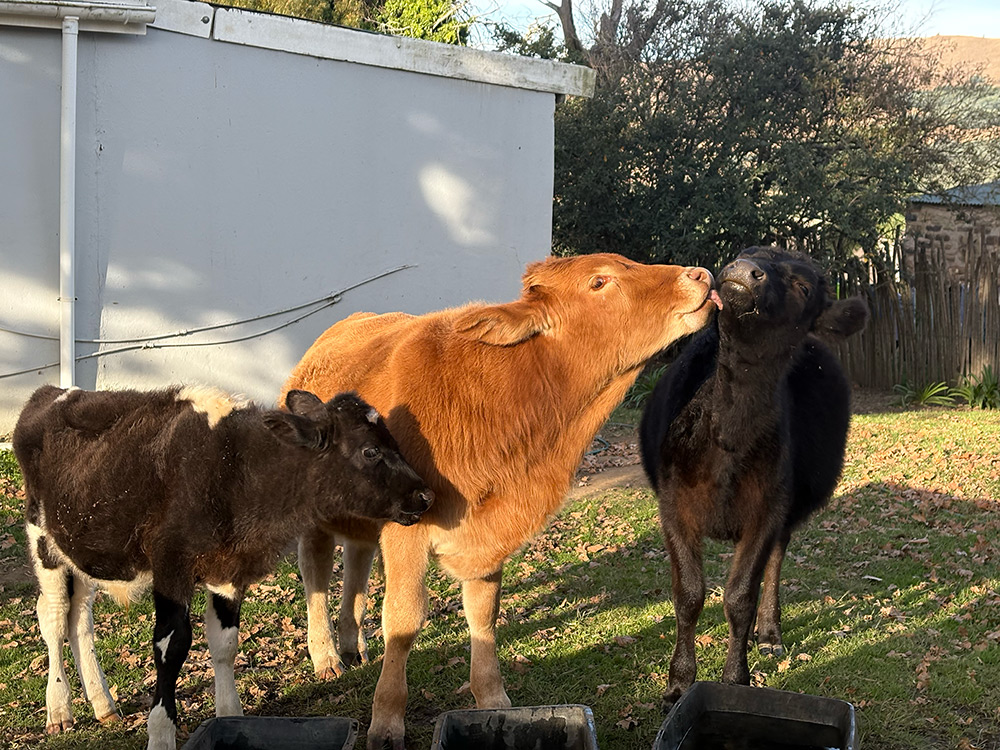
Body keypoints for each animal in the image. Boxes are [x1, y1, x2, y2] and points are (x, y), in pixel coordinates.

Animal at [12, 385, 433, 750]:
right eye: (370, 451)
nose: (425, 495)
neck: (234, 468)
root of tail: (50, 393)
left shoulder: (228, 571)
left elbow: (225, 644)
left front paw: (230, 715)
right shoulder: (171, 568)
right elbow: (172, 646)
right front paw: (161, 735)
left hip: (83, 551)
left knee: (79, 618)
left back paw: (103, 705)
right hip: (43, 542)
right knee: (53, 618)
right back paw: (59, 710)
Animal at [282, 252, 719, 749]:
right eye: (599, 281)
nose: (699, 274)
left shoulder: (489, 534)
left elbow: (483, 614)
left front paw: (494, 700)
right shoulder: (407, 529)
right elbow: (404, 619)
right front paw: (387, 719)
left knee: (357, 559)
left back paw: (352, 642)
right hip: (314, 517)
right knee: (315, 571)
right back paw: (325, 654)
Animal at [639, 246, 868, 706]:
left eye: (803, 286)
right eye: (746, 253)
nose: (744, 271)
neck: (728, 435)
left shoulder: (767, 510)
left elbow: (740, 595)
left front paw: (735, 679)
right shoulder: (674, 507)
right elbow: (689, 595)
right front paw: (679, 683)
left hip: (790, 508)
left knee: (775, 563)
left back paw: (769, 633)